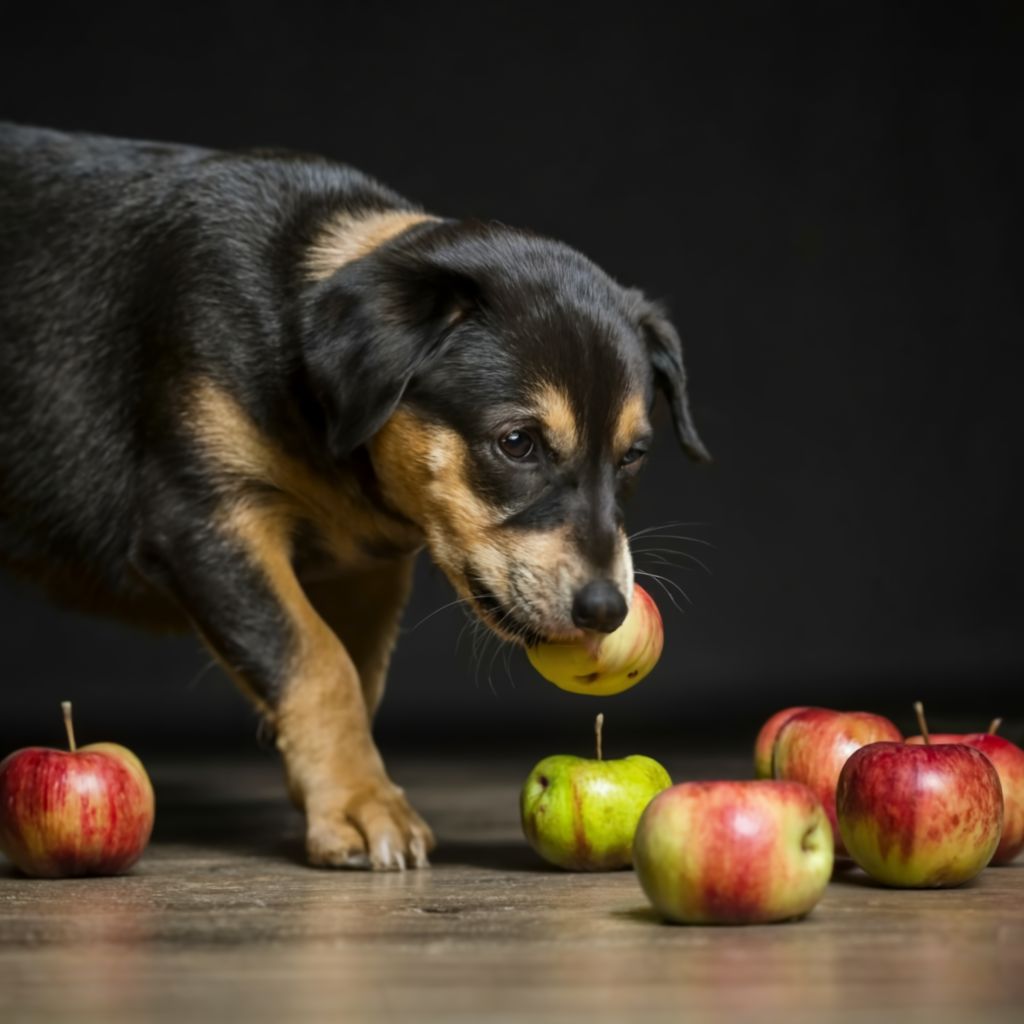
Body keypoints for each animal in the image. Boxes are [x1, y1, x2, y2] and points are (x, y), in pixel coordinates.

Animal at [0, 121, 708, 872]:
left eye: (633, 456)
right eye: (516, 443)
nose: (606, 611)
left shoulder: (364, 570)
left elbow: (355, 676)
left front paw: (339, 786)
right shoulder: (202, 522)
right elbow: (316, 660)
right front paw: (361, 805)